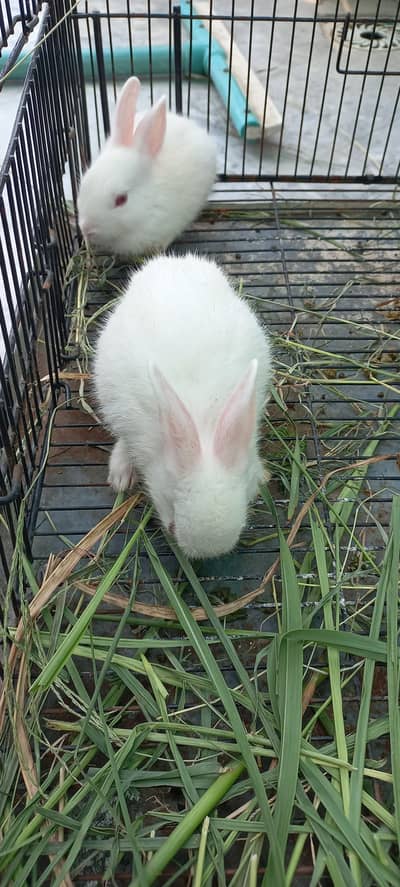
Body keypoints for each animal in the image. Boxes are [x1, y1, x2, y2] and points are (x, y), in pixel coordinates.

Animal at [94, 253, 272, 559]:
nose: (205, 556)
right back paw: (121, 474)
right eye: (173, 526)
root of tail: (170, 262)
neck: (203, 424)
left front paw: (261, 476)